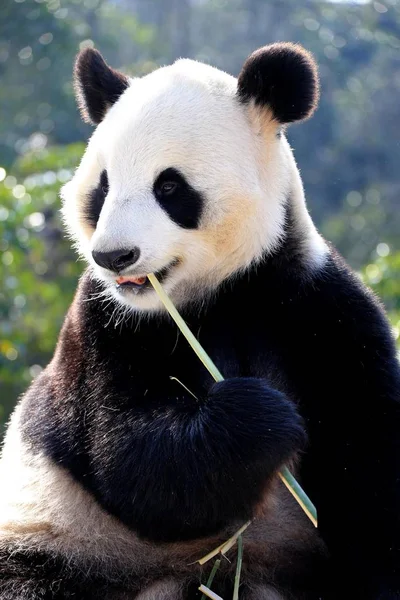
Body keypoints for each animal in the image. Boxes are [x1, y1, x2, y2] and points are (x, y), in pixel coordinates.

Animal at [0, 43, 400, 600]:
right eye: (102, 187)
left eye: (169, 186)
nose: (114, 256)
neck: (218, 293)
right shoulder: (101, 326)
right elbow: (127, 457)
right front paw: (262, 415)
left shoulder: (317, 307)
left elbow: (367, 459)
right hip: (64, 538)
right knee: (30, 577)